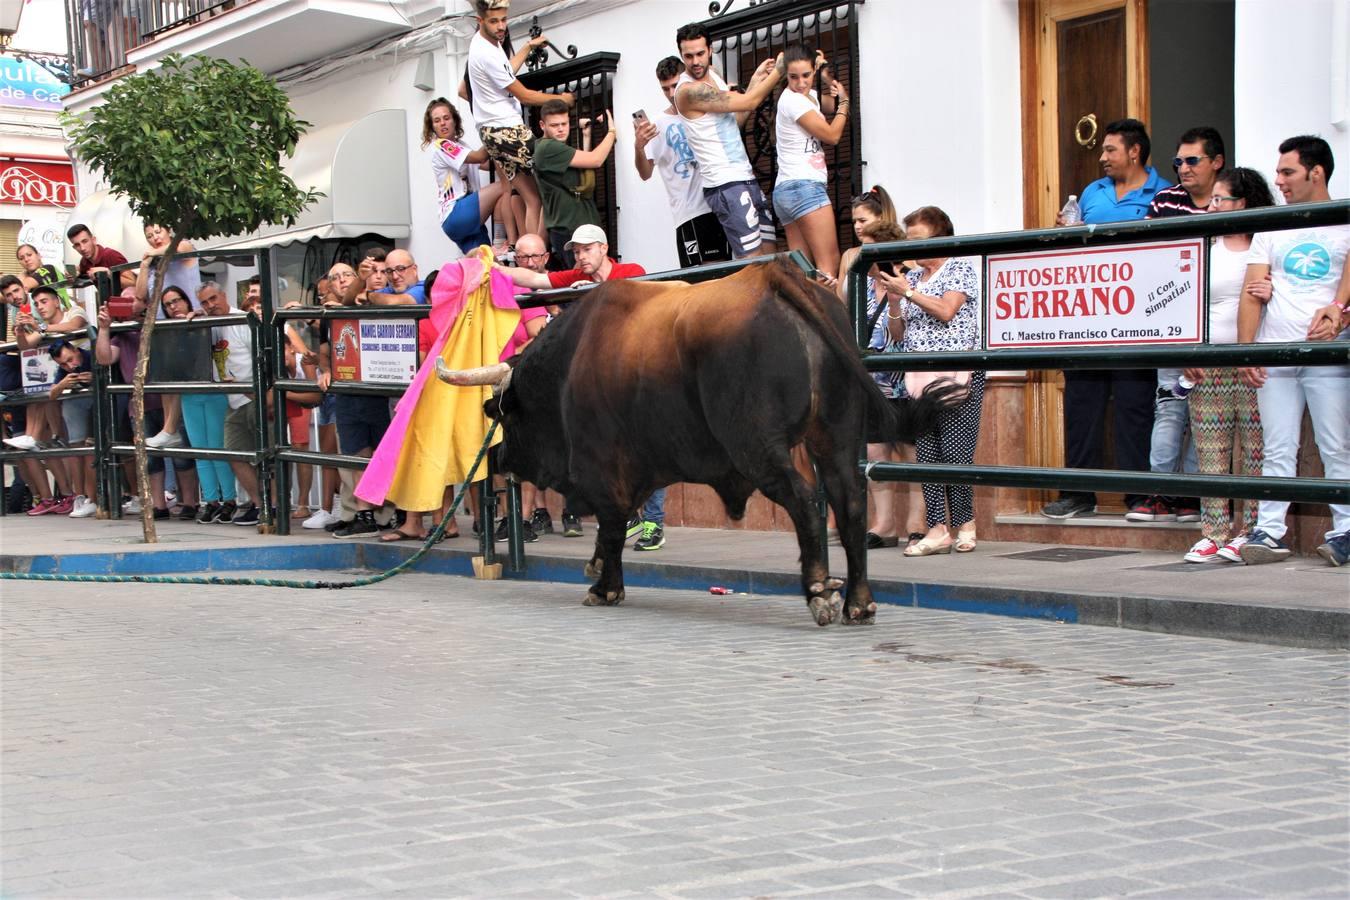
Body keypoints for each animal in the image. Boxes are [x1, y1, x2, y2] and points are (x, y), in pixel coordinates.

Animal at [440, 259, 961, 626]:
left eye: (505, 416)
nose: (496, 455)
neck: (570, 363)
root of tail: (771, 276)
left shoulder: (602, 470)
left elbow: (611, 528)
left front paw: (605, 587)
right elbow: (617, 528)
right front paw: (598, 570)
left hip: (758, 444)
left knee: (804, 500)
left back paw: (819, 591)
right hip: (834, 436)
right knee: (850, 506)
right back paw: (858, 601)